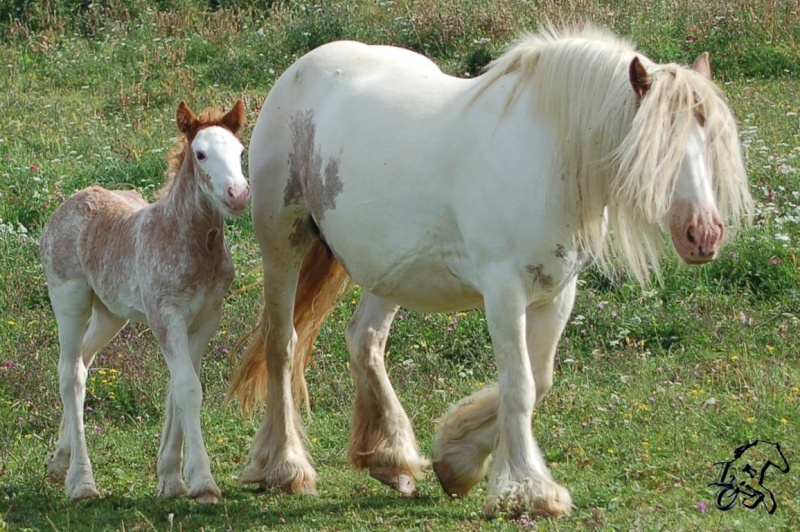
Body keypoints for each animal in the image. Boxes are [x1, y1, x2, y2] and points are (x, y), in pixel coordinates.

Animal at [39, 98, 250, 502]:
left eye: (240, 151)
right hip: (70, 299)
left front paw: (170, 478)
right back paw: (82, 482)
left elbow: (178, 389)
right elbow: (188, 389)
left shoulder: (205, 319)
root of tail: (67, 204)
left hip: (110, 313)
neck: (188, 241)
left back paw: (59, 459)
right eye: (201, 154)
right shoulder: (167, 316)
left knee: (83, 363)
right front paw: (202, 482)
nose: (238, 194)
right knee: (69, 374)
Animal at [228, 27, 752, 516]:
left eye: (710, 143)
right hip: (282, 244)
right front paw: (527, 491)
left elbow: (538, 380)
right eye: (656, 148)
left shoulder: (557, 293)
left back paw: (390, 460)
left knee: (365, 339)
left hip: (389, 268)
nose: (704, 235)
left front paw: (457, 458)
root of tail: (304, 67)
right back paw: (286, 467)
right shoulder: (504, 293)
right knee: (282, 345)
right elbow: (519, 386)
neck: (547, 157)